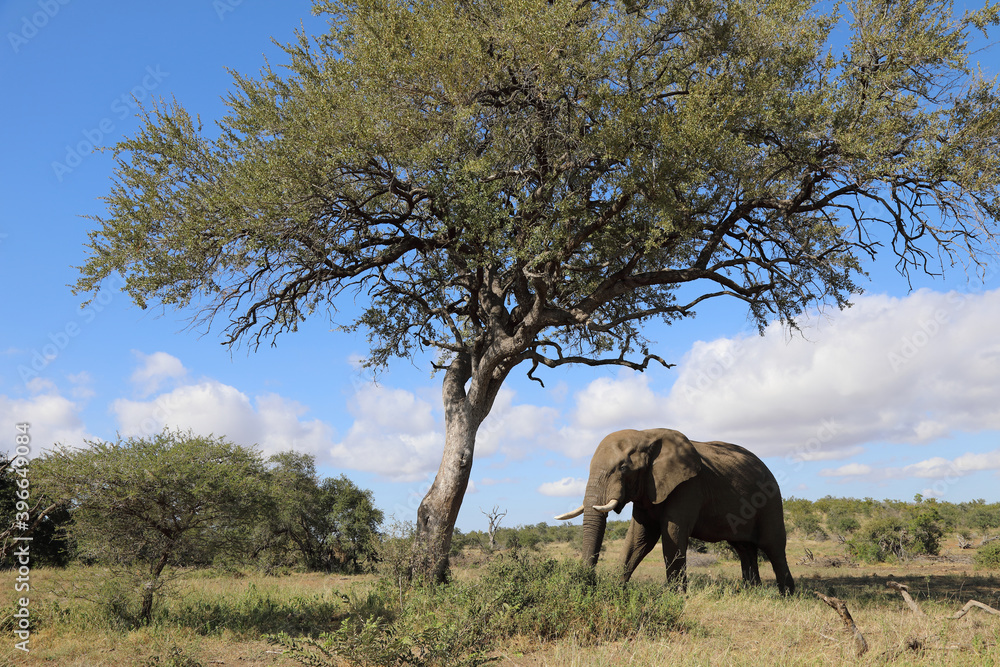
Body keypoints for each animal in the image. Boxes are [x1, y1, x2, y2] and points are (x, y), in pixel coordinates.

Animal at [555, 428, 794, 595]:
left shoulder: (688, 486)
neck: (646, 435)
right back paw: (752, 591)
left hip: (771, 500)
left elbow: (672, 533)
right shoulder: (648, 489)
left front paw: (675, 596)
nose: (586, 584)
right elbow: (639, 538)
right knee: (744, 549)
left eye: (623, 468)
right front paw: (616, 588)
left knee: (773, 546)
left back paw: (787, 595)